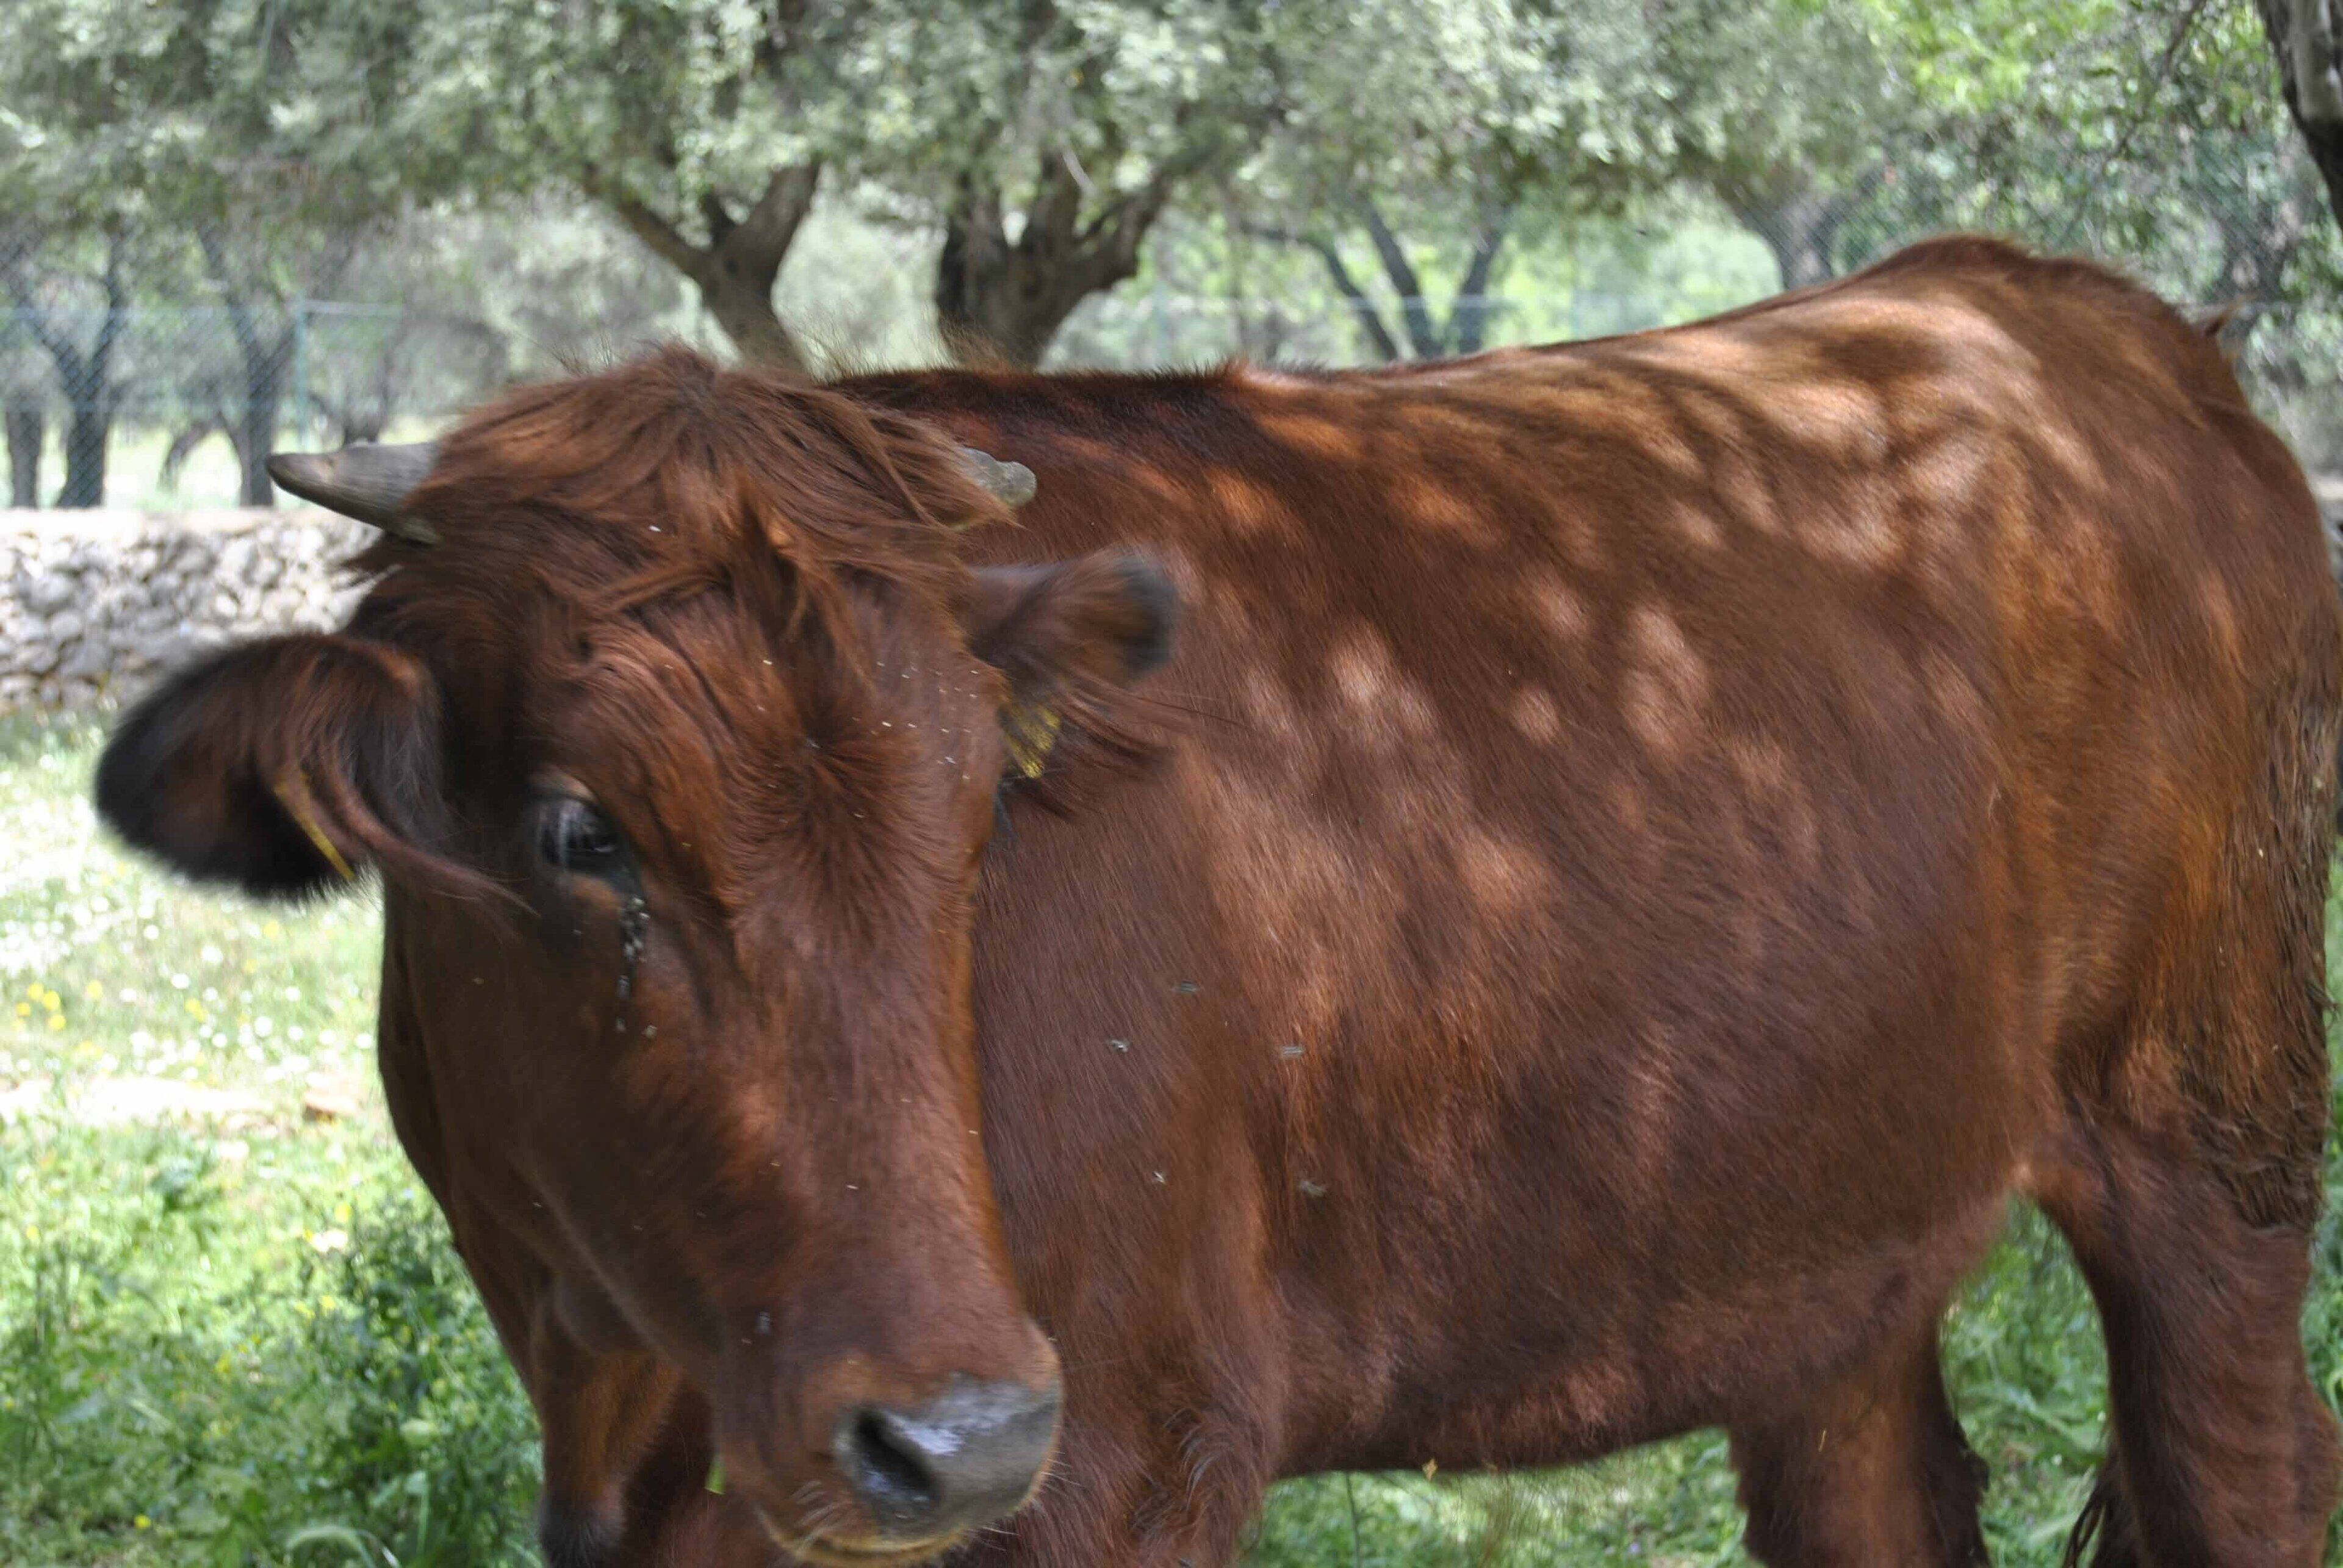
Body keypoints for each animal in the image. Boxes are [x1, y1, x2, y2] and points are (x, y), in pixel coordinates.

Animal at [94, 236, 2341, 1566]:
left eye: (978, 811)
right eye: (579, 834)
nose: (952, 1434)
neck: (634, 1377)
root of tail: (2037, 300)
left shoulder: (1133, 1448)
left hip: (2211, 1136)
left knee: (2246, 1457)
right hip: (1829, 1220)